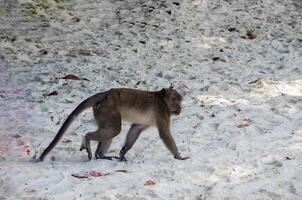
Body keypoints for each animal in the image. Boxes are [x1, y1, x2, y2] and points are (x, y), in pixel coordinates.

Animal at [33, 87, 189, 161]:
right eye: (176, 101)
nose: (180, 107)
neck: (163, 101)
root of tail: (104, 94)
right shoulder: (163, 112)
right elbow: (164, 133)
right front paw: (178, 156)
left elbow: (136, 128)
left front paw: (123, 151)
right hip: (107, 109)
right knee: (114, 129)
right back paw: (88, 139)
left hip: (101, 112)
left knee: (110, 130)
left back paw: (100, 155)